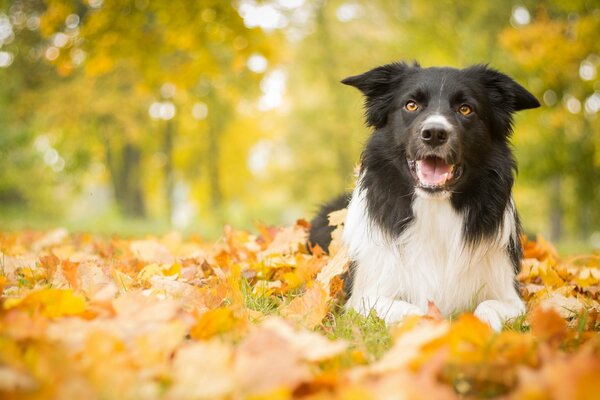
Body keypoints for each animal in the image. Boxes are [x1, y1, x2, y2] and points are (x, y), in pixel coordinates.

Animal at [310, 62, 540, 330]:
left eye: (465, 109)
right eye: (411, 105)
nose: (435, 133)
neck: (435, 208)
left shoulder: (509, 295)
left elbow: (488, 306)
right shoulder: (363, 297)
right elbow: (413, 311)